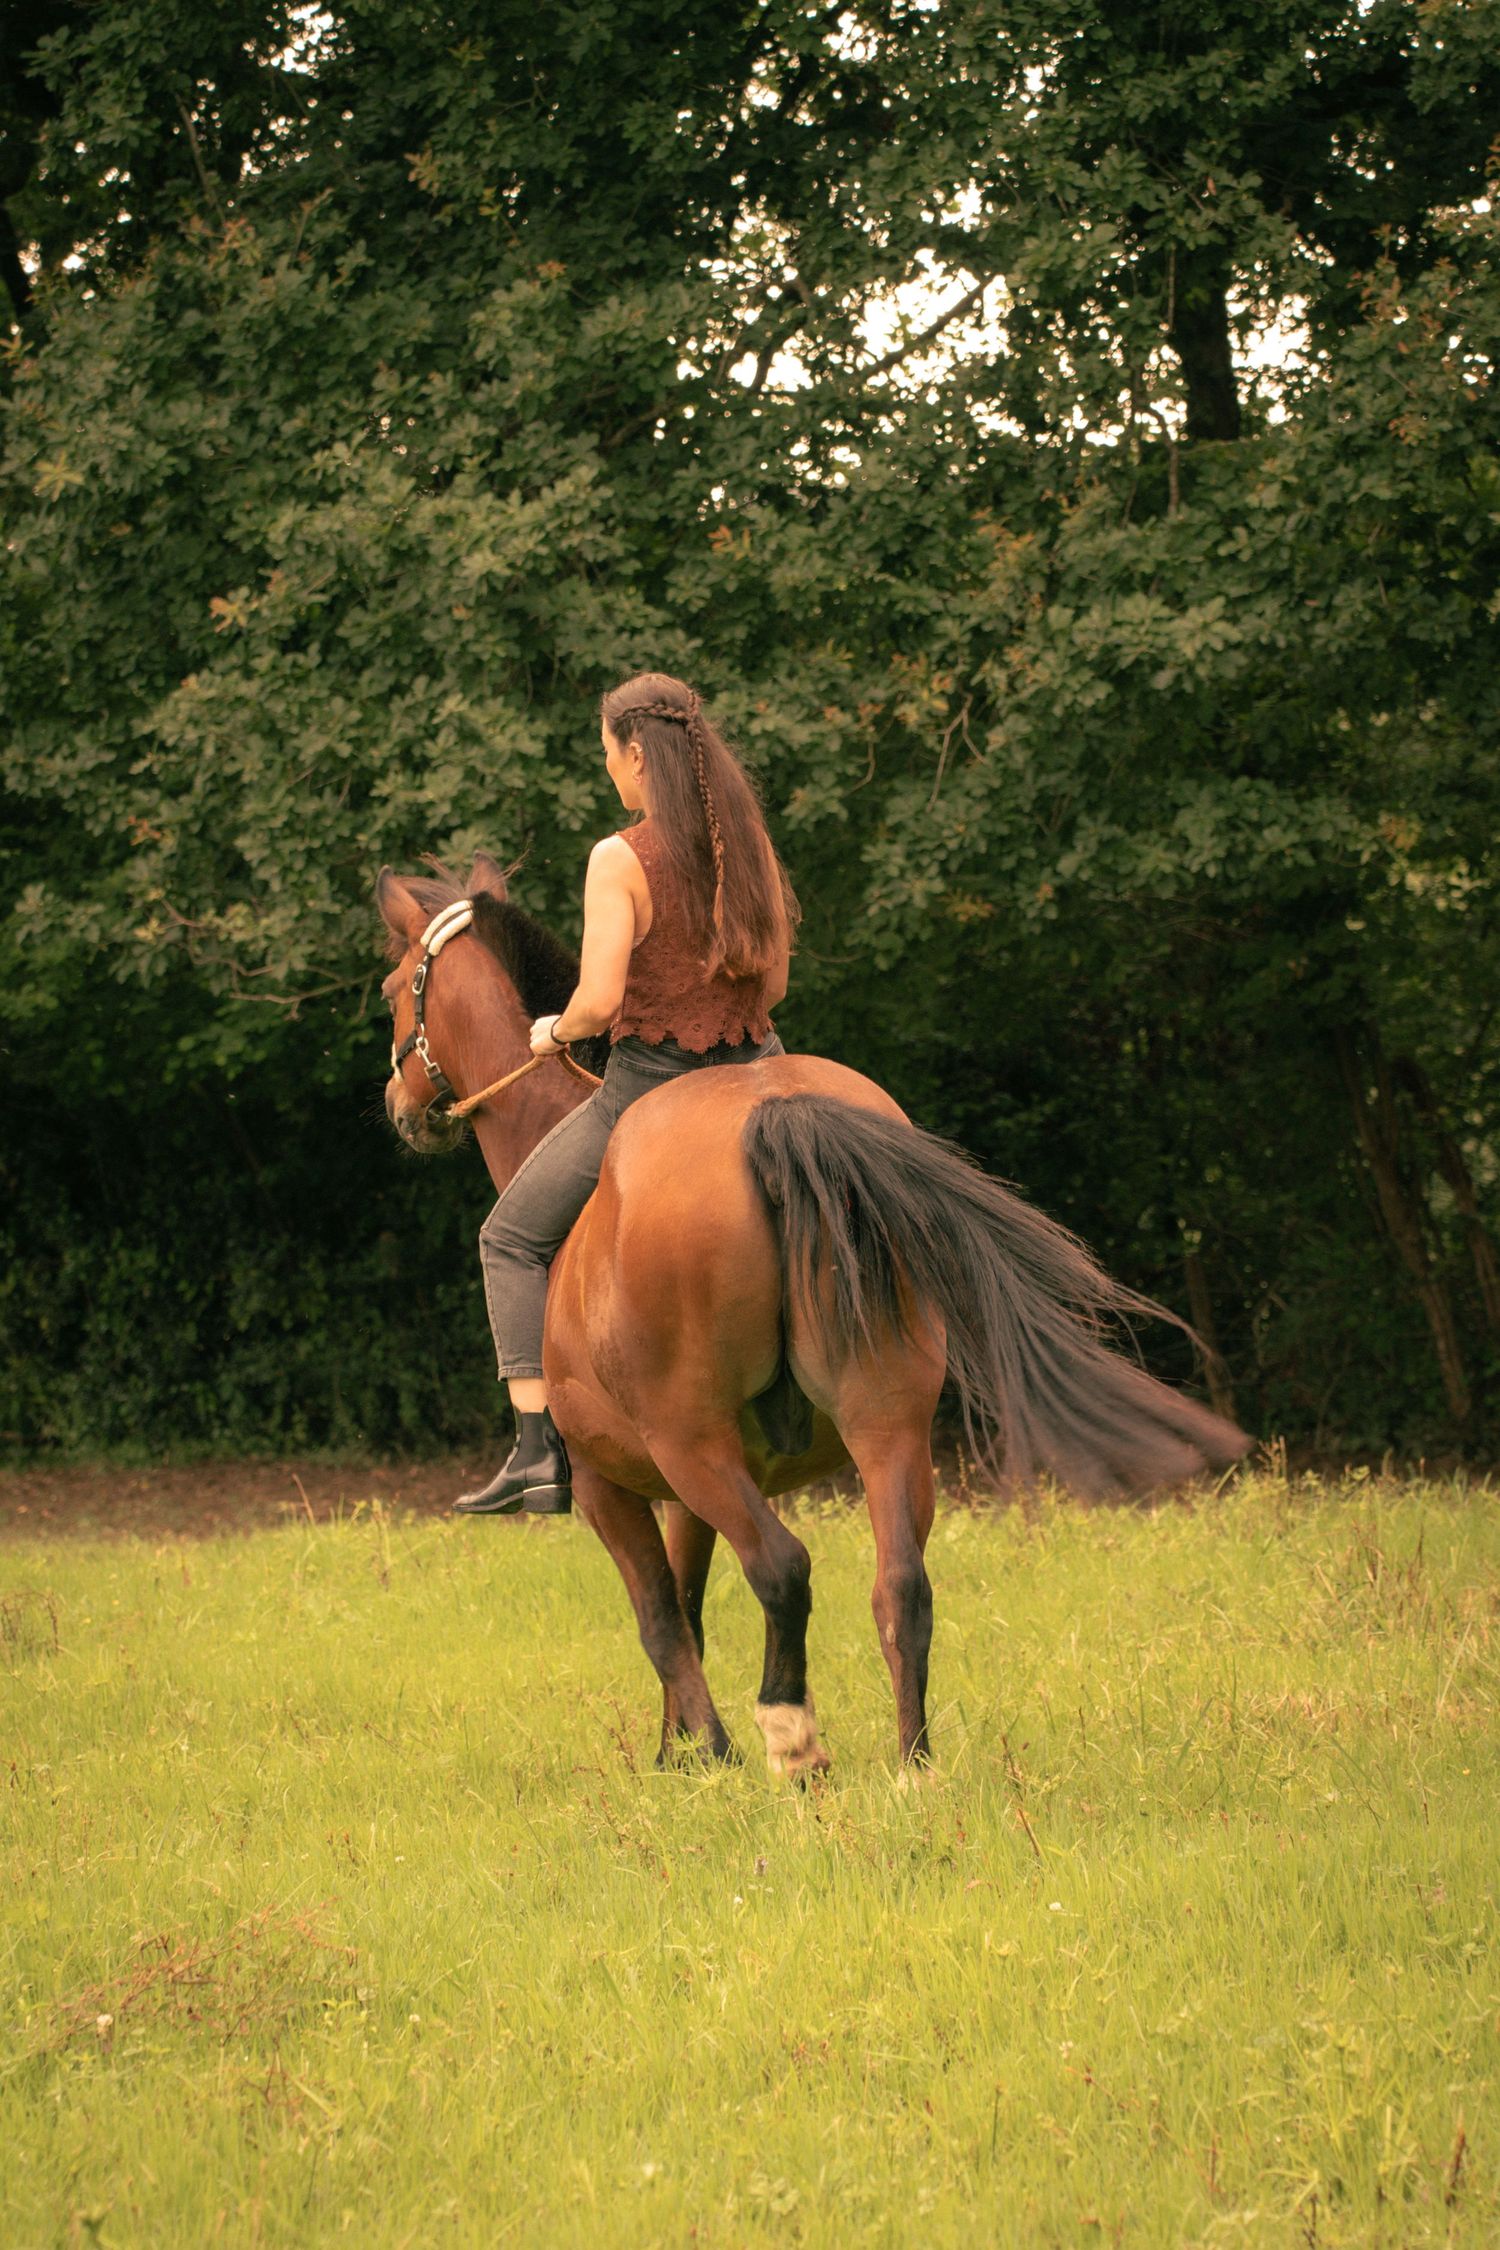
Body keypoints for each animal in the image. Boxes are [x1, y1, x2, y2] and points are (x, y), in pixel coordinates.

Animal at [378, 852, 1249, 1774]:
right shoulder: (686, 1495)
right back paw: (912, 1767)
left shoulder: (616, 1485)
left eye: (397, 986)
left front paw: (702, 1753)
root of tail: (775, 1109)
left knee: (783, 1569)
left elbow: (661, 1617)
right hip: (885, 1428)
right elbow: (690, 1605)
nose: (399, 1106)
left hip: (697, 1445)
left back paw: (789, 1738)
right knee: (901, 1585)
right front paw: (680, 1753)